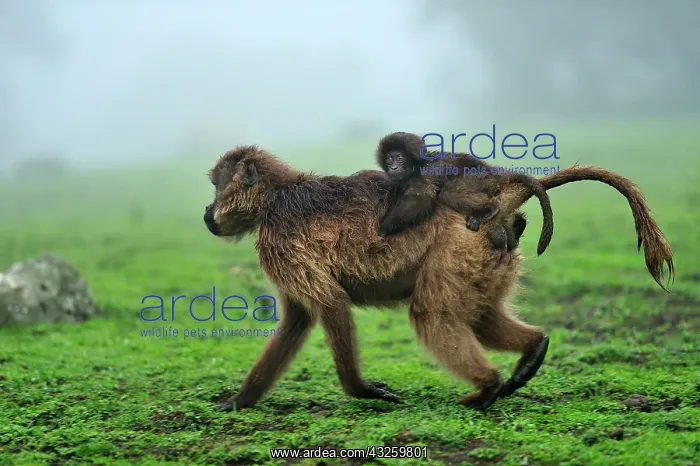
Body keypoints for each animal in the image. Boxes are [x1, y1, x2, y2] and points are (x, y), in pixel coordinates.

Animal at [203, 145, 674, 413]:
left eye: (216, 187)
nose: (207, 212)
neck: (273, 199)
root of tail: (500, 200)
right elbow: (298, 320)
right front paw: (239, 401)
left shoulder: (280, 244)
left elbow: (331, 304)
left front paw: (364, 391)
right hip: (489, 258)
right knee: (481, 316)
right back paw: (531, 351)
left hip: (458, 249)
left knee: (430, 313)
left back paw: (486, 386)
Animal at [375, 131, 555, 256]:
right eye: (390, 159)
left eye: (400, 158)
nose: (393, 167)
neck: (416, 167)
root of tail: (489, 170)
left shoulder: (424, 176)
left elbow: (421, 200)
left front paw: (384, 228)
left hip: (478, 180)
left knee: (448, 193)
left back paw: (491, 209)